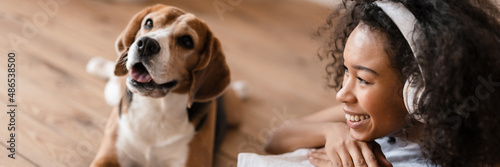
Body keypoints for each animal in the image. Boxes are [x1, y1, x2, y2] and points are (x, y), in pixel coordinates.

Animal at [87, 4, 245, 167]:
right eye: (148, 23)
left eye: (187, 41)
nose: (146, 44)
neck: (157, 108)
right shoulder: (107, 158)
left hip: (235, 115)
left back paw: (240, 88)